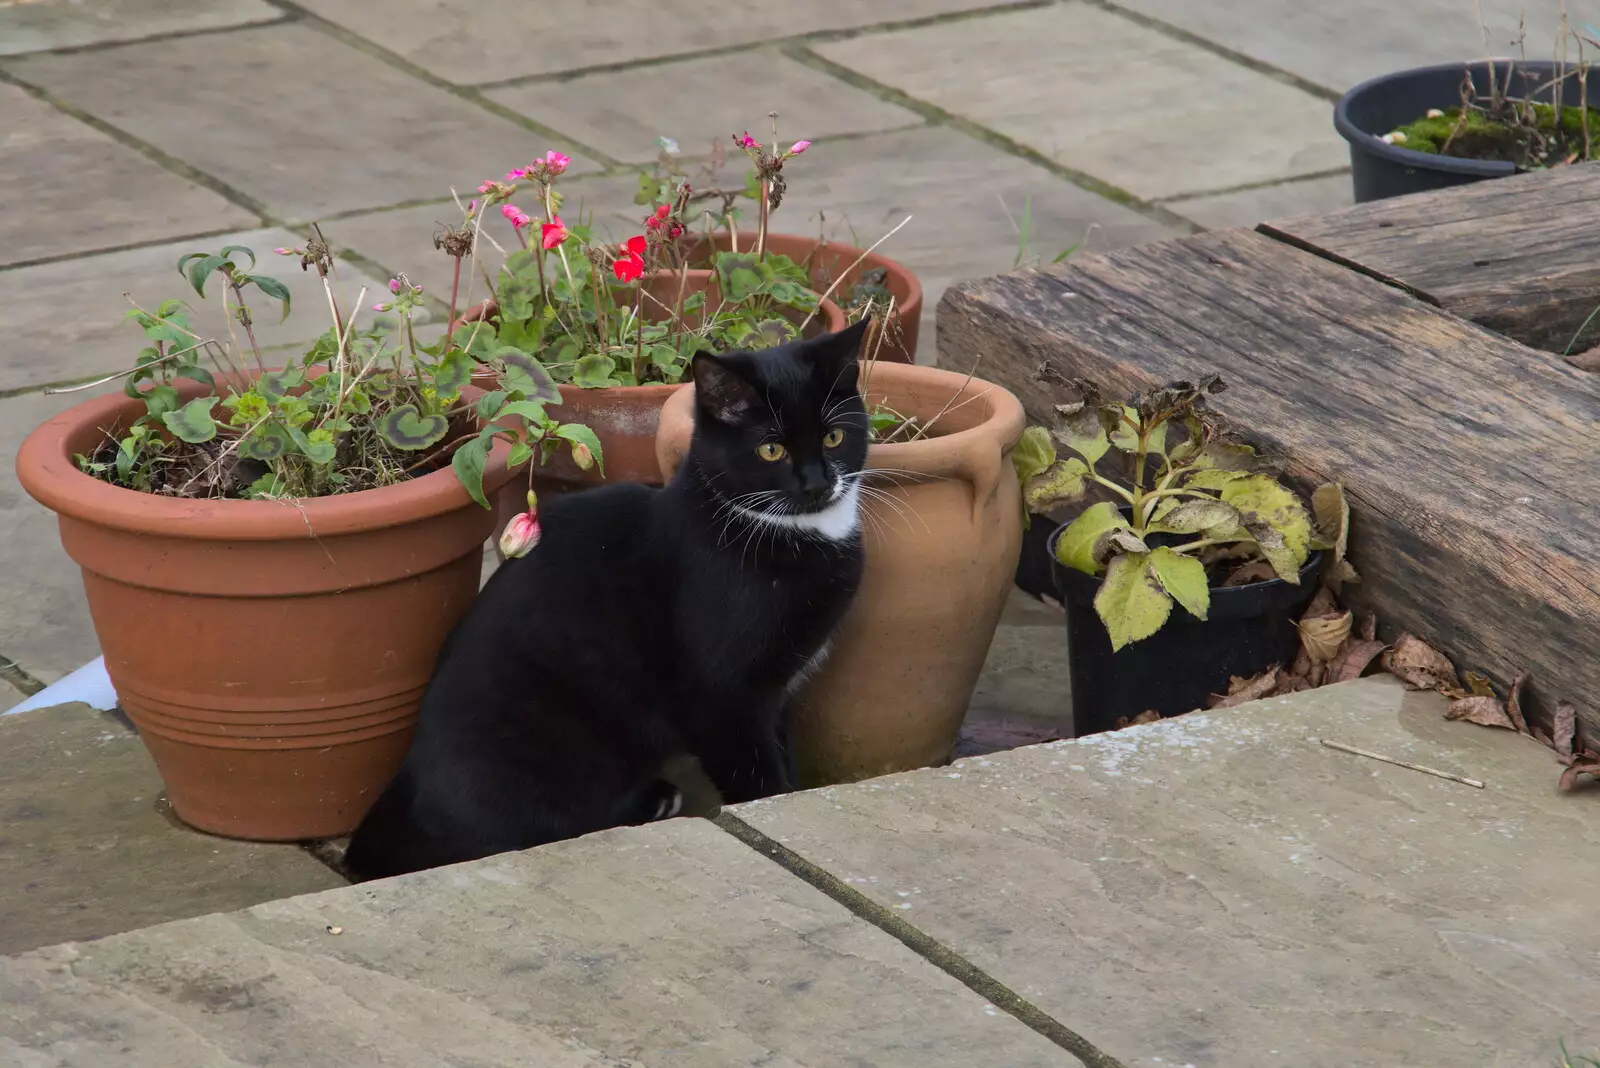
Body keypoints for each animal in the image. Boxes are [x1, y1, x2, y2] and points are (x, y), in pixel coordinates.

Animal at [342, 319, 870, 882]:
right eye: (772, 450)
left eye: (835, 436)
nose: (817, 483)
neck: (792, 534)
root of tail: (410, 784)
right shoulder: (719, 694)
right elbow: (755, 773)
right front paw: (773, 801)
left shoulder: (779, 690)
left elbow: (781, 749)